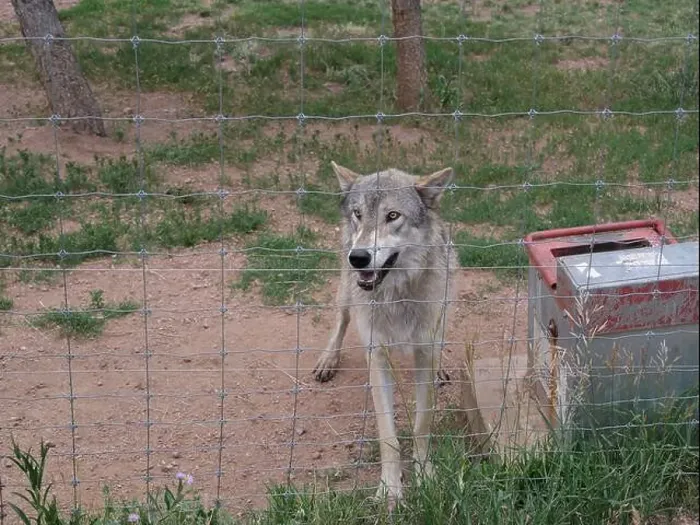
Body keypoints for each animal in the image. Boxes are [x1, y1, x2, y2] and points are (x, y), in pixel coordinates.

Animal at [312, 161, 457, 507]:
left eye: (393, 215)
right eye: (358, 214)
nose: (359, 257)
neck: (396, 296)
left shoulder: (423, 352)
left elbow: (422, 423)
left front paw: (425, 475)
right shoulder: (377, 356)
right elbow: (387, 434)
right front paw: (390, 488)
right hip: (346, 292)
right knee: (340, 319)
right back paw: (328, 360)